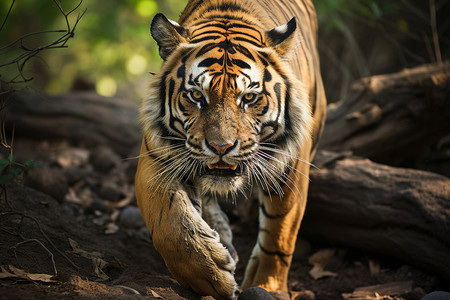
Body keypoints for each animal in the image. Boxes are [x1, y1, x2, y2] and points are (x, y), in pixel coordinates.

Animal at [135, 0, 326, 298]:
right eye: (196, 95)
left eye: (249, 97)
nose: (220, 147)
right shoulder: (157, 160)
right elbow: (170, 225)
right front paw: (210, 276)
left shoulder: (291, 165)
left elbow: (279, 233)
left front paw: (267, 287)